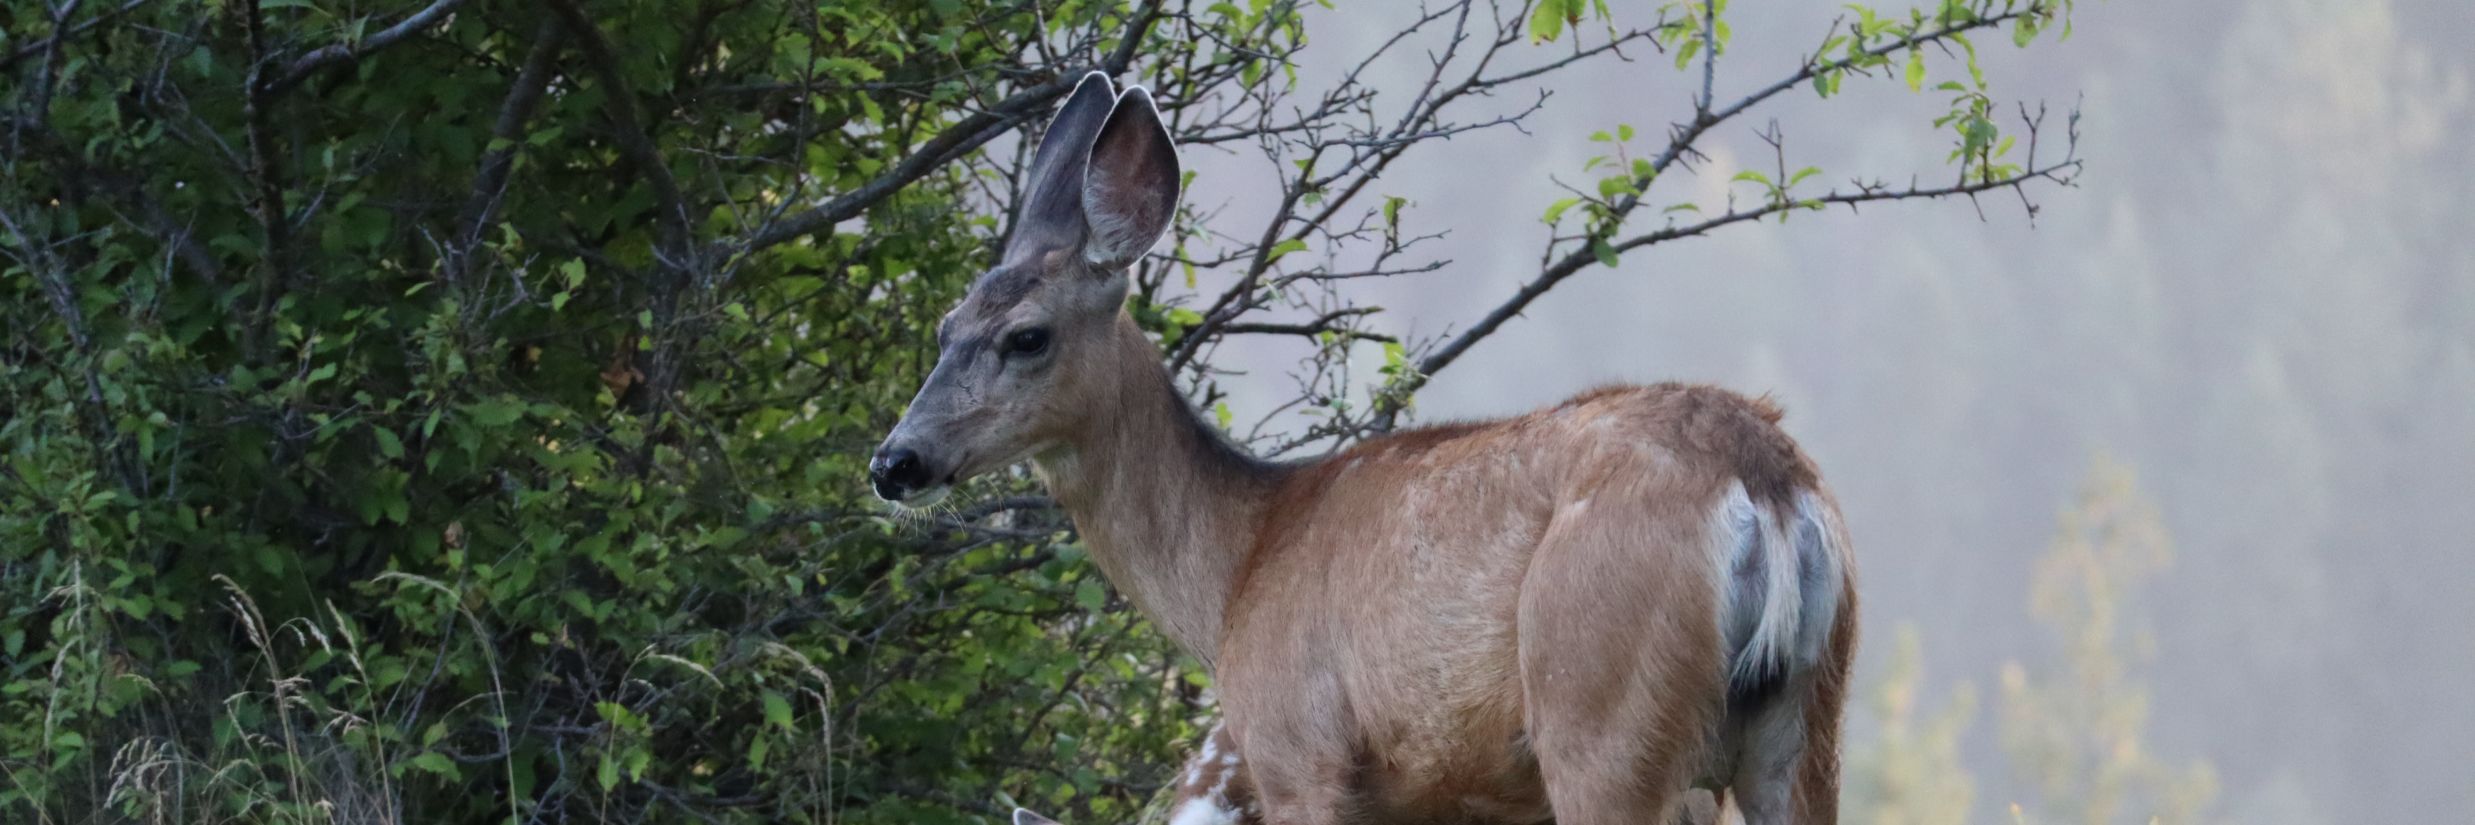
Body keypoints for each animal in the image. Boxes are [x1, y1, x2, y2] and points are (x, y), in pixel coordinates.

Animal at [871, 72, 1861, 822]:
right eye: (944, 325)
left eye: (1027, 336)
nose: (894, 462)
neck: (1236, 565)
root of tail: (1765, 484)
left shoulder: (1295, 751)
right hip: (1803, 727)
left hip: (1602, 704)